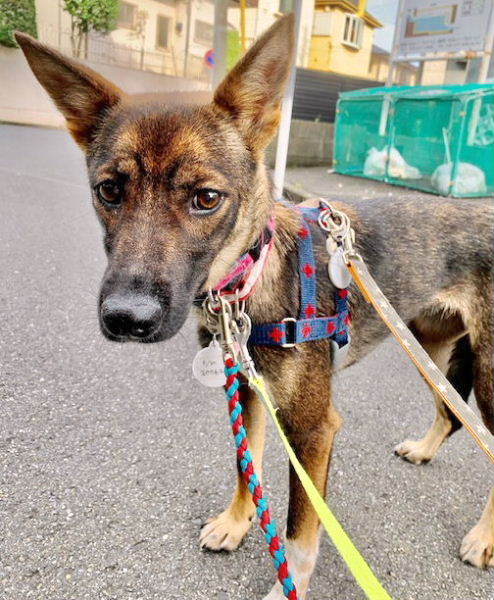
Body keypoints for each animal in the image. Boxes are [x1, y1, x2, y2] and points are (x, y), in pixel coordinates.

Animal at [16, 15, 493, 598]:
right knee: (450, 411)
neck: (248, 280)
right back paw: (425, 449)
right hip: (428, 347)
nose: (126, 319)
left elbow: (301, 528)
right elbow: (248, 468)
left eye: (205, 198)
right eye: (109, 191)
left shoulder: (313, 429)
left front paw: (291, 581)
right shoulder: (246, 387)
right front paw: (237, 521)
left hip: (486, 371)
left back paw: (483, 537)